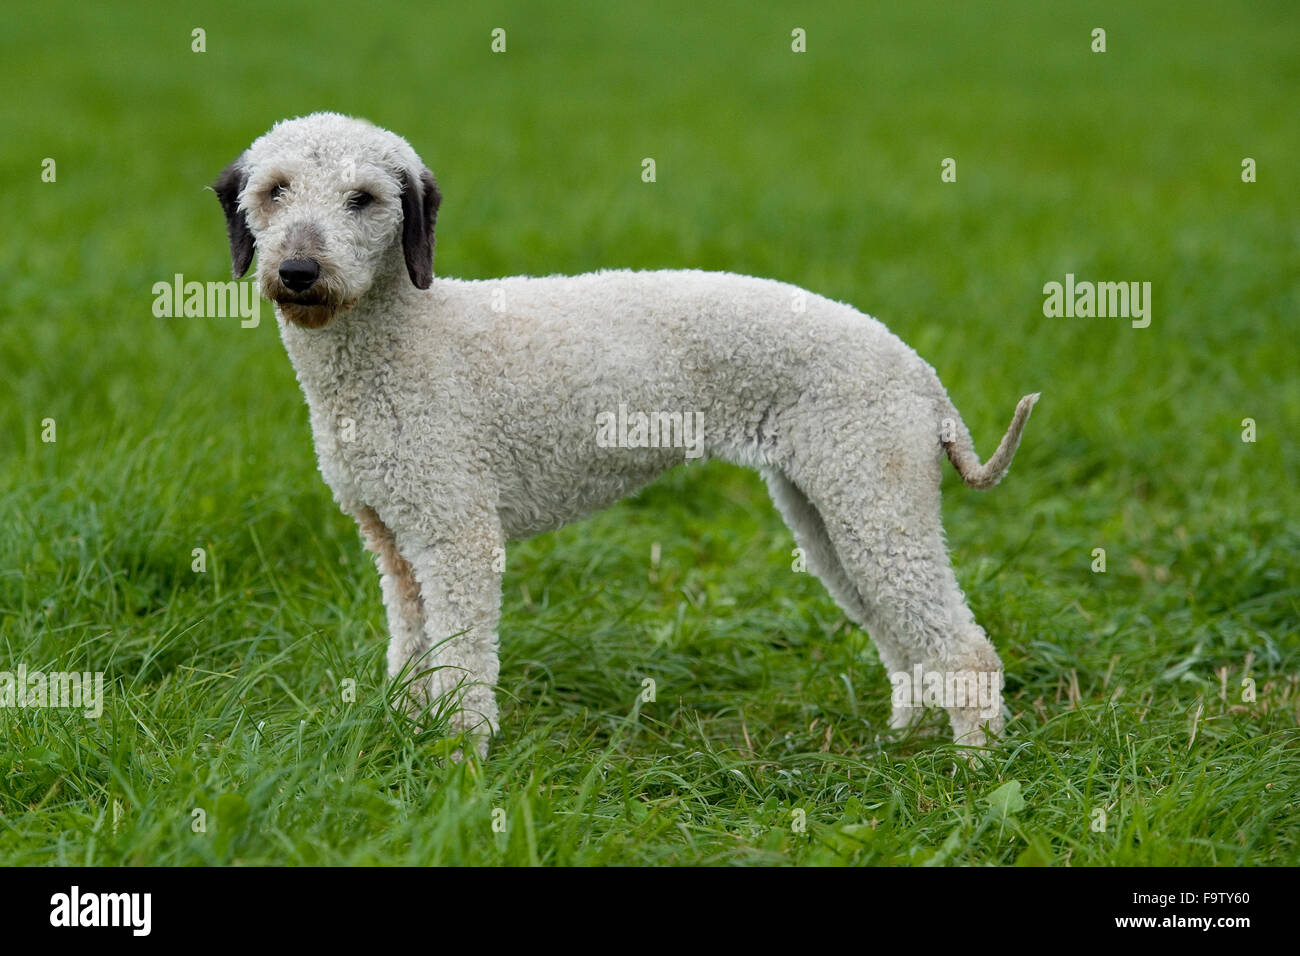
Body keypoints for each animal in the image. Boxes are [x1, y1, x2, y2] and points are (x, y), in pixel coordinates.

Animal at [218, 111, 1040, 754]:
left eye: (364, 199)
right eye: (274, 190)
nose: (298, 270)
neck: (410, 337)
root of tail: (921, 375)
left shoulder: (457, 536)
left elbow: (463, 663)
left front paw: (458, 764)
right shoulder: (392, 536)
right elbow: (413, 654)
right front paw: (406, 739)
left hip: (875, 496)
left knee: (963, 649)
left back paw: (970, 776)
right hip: (833, 514)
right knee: (904, 641)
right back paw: (909, 741)